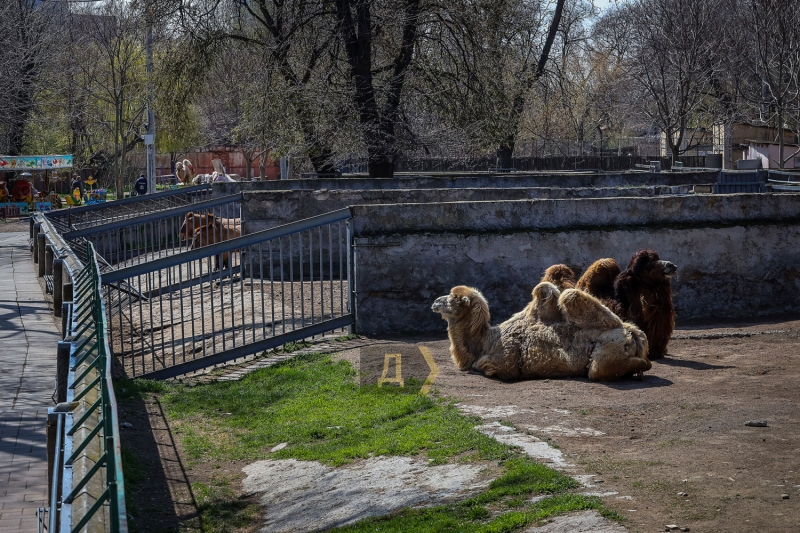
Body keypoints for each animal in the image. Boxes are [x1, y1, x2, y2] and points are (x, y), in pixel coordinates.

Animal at [432, 284, 648, 380]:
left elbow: (487, 367)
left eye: (452, 298)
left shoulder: (504, 363)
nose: (435, 302)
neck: (485, 340)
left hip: (606, 353)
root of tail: (632, 334)